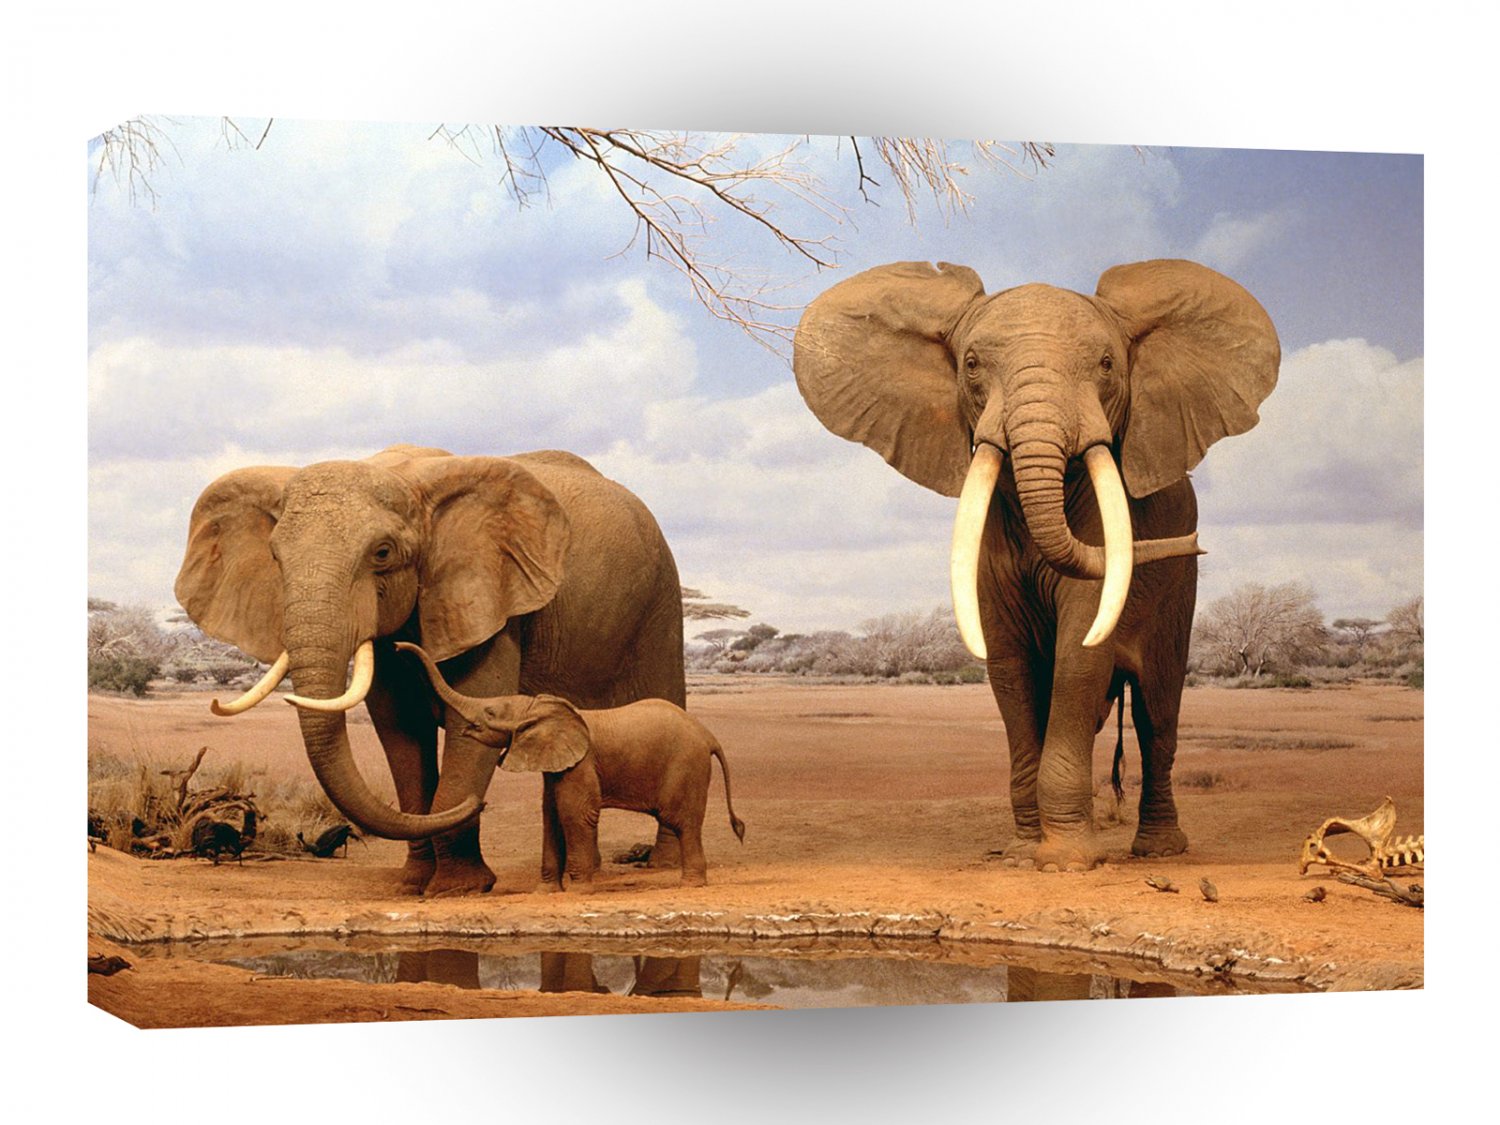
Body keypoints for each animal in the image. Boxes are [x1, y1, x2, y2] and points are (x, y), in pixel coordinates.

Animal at [175, 444, 686, 896]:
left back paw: (664, 865)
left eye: (382, 553)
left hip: (661, 600)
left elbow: (469, 719)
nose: (481, 802)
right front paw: (412, 886)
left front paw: (456, 889)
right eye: (275, 558)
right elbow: (400, 731)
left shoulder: (490, 600)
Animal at [395, 641, 746, 890]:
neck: (539, 707)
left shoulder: (582, 764)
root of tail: (708, 736)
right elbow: (551, 815)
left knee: (682, 821)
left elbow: (574, 813)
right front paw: (546, 892)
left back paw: (690, 885)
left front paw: (579, 891)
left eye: (491, 712)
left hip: (686, 766)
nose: (398, 646)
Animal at [793, 259, 1279, 871]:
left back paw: (1158, 850)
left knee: (1157, 711)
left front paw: (1066, 860)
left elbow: (1081, 653)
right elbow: (1009, 663)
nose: (1195, 543)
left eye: (1107, 364)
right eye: (972, 364)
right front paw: (1026, 852)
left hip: (1179, 593)